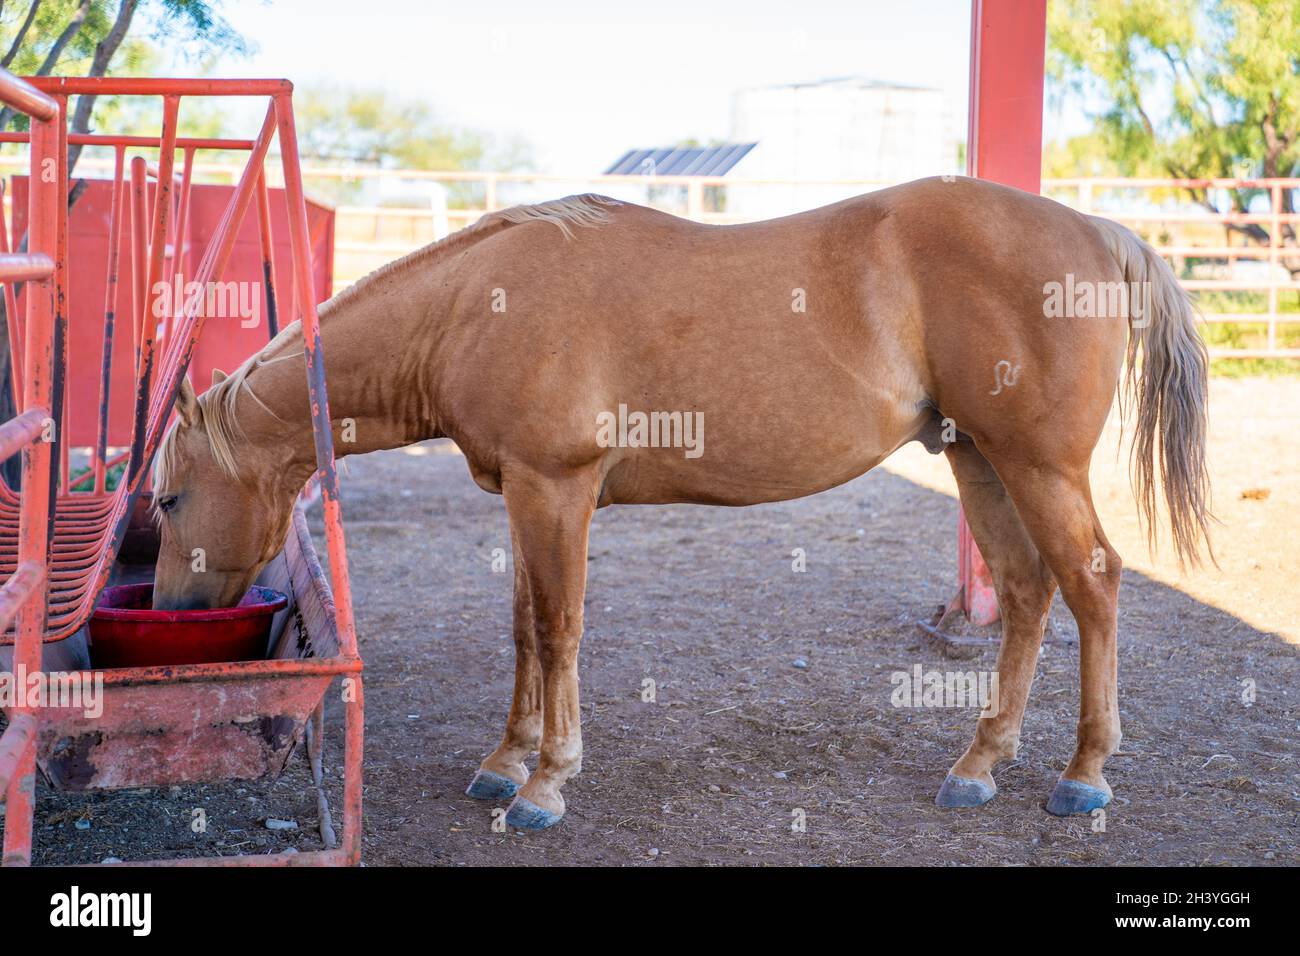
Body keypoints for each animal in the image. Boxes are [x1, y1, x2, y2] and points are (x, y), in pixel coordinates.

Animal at [150, 176, 1211, 830]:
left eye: (165, 499)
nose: (167, 614)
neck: (476, 306)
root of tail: (1101, 235)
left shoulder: (559, 489)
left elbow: (561, 630)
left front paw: (545, 782)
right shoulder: (523, 495)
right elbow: (525, 627)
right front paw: (505, 760)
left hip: (1036, 466)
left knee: (1094, 584)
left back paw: (1083, 776)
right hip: (979, 460)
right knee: (1029, 591)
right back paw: (979, 764)